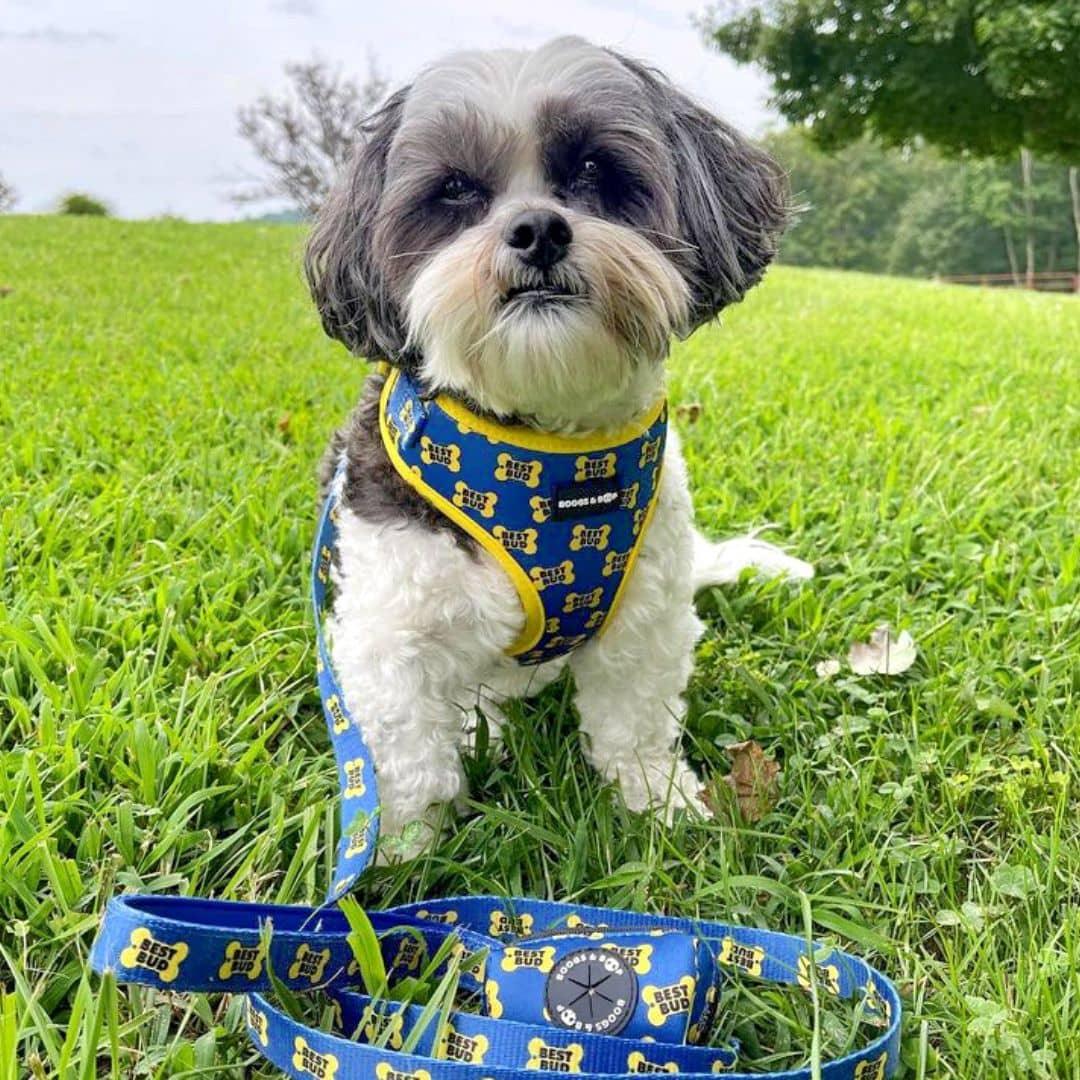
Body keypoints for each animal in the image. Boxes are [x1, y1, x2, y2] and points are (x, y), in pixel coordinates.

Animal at [304, 35, 812, 851]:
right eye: (455, 191)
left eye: (594, 171)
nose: (538, 228)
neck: (546, 455)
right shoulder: (389, 632)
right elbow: (405, 760)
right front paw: (398, 853)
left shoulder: (644, 611)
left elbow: (635, 722)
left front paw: (658, 803)